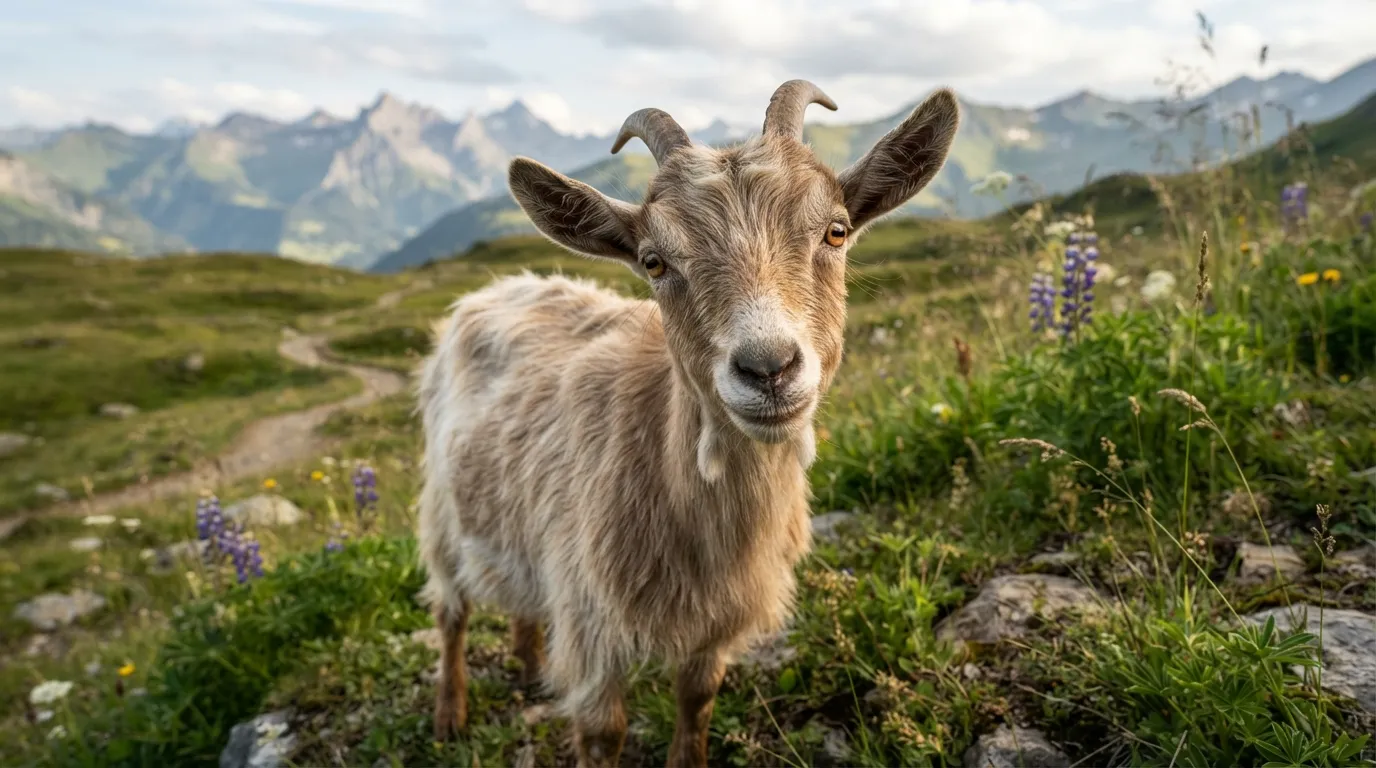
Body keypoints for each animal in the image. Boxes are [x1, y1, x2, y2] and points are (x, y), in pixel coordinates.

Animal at [416, 79, 959, 768]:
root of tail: (496, 289)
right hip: (442, 513)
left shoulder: (715, 624)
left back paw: (533, 666)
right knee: (450, 614)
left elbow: (697, 698)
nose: (768, 368)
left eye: (836, 231)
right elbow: (603, 731)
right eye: (654, 262)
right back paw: (448, 715)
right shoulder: (592, 620)